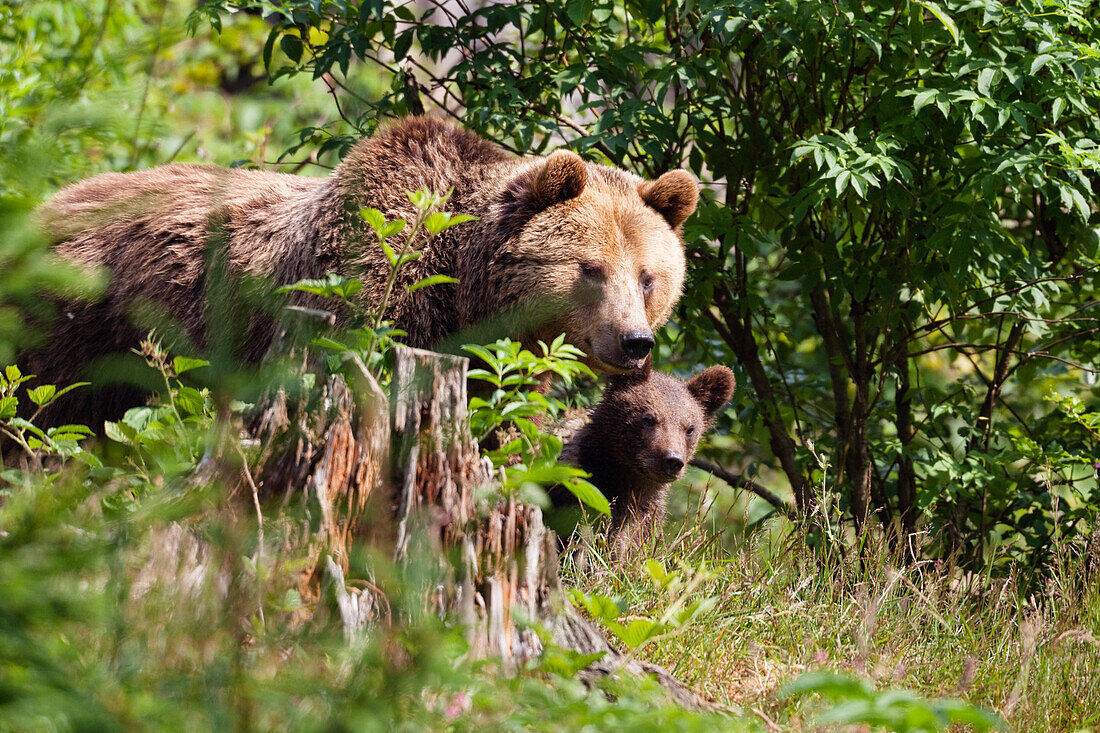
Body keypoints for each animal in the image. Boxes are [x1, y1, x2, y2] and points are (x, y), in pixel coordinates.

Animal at [30, 115, 699, 422]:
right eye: (591, 269)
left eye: (649, 277)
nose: (635, 341)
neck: (462, 287)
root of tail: (45, 205)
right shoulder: (363, 288)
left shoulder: (495, 359)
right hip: (84, 328)